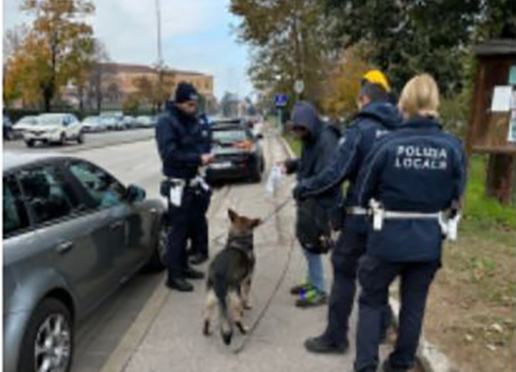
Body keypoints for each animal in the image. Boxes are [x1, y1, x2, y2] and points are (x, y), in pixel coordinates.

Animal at [203, 209, 260, 346]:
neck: (239, 241)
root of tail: (219, 274)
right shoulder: (247, 281)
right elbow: (246, 297)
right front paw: (247, 306)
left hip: (210, 297)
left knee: (206, 319)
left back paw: (207, 331)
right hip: (235, 297)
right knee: (237, 320)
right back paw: (244, 329)